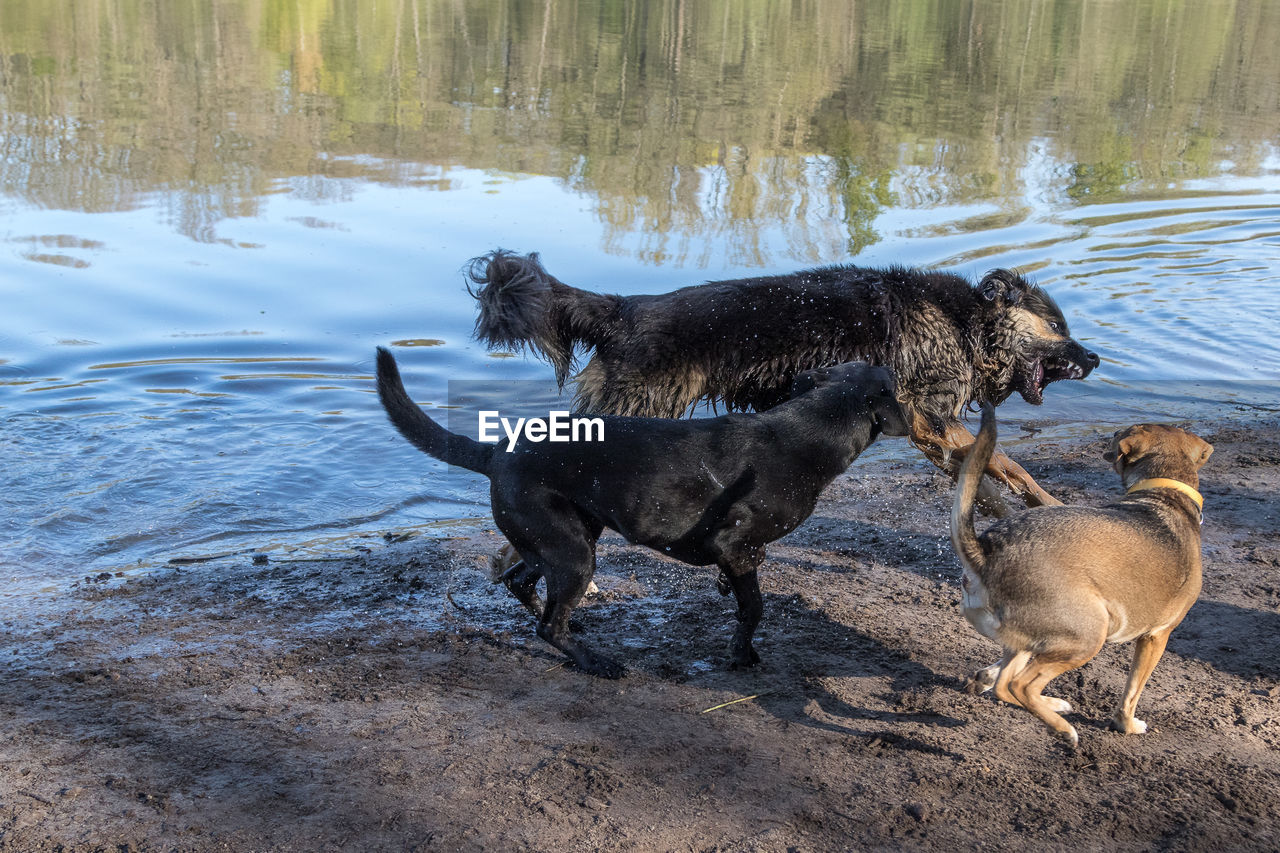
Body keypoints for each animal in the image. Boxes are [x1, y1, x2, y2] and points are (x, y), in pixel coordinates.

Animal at [373, 348, 906, 676]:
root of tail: (497, 451)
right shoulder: (736, 547)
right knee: (546, 622)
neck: (808, 429)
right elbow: (754, 607)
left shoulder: (740, 557)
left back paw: (572, 626)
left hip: (564, 538)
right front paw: (740, 654)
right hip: (573, 552)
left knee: (521, 584)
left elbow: (744, 603)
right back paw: (596, 663)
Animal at [471, 249, 1100, 514]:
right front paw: (1049, 502)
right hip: (633, 409)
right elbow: (1012, 464)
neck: (966, 321)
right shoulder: (931, 418)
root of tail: (624, 310)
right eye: (1057, 327)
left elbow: (988, 472)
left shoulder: (933, 433)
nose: (1094, 359)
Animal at [952, 402, 1208, 742]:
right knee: (1021, 685)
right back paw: (1063, 728)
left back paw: (1052, 705)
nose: (1115, 432)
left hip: (1042, 640)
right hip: (1090, 635)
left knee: (1006, 685)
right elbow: (1132, 692)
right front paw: (1127, 725)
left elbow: (994, 674)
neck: (1166, 491)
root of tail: (987, 552)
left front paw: (983, 677)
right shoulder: (1156, 637)